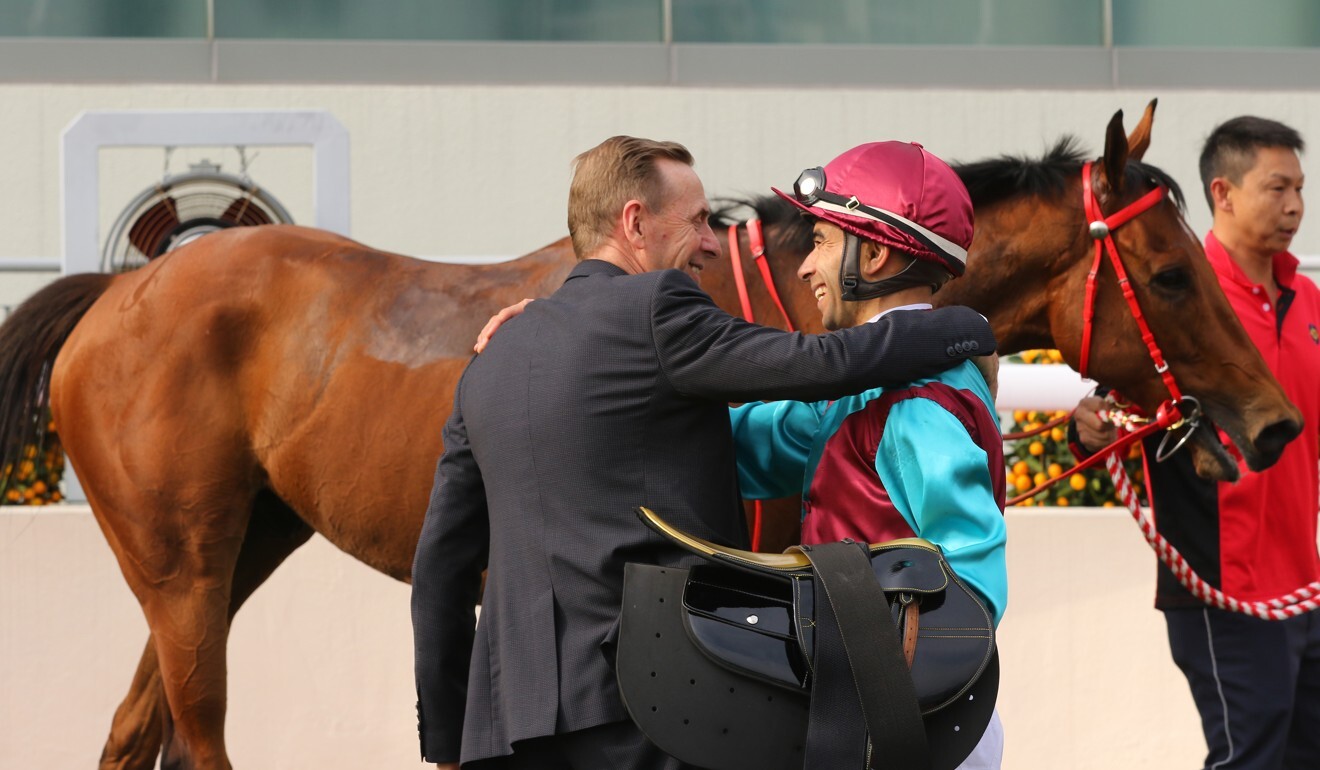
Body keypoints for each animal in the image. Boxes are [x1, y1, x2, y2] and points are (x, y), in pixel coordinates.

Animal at [0, 103, 1298, 770]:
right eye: (1173, 273)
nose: (1276, 422)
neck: (799, 304)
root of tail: (121, 292)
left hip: (236, 550)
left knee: (134, 729)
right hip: (183, 561)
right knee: (194, 728)